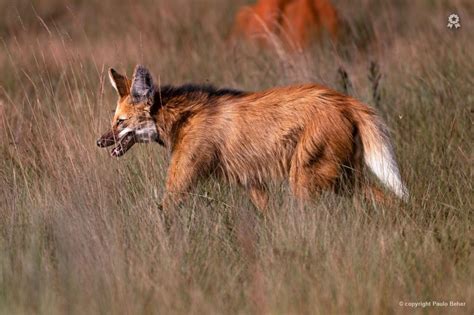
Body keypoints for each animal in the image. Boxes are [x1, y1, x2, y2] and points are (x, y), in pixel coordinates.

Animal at [95, 64, 408, 212]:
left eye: (120, 122)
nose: (100, 142)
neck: (182, 119)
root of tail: (345, 100)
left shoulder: (183, 179)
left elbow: (166, 210)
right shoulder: (251, 182)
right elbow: (267, 213)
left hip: (305, 179)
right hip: (344, 178)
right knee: (391, 200)